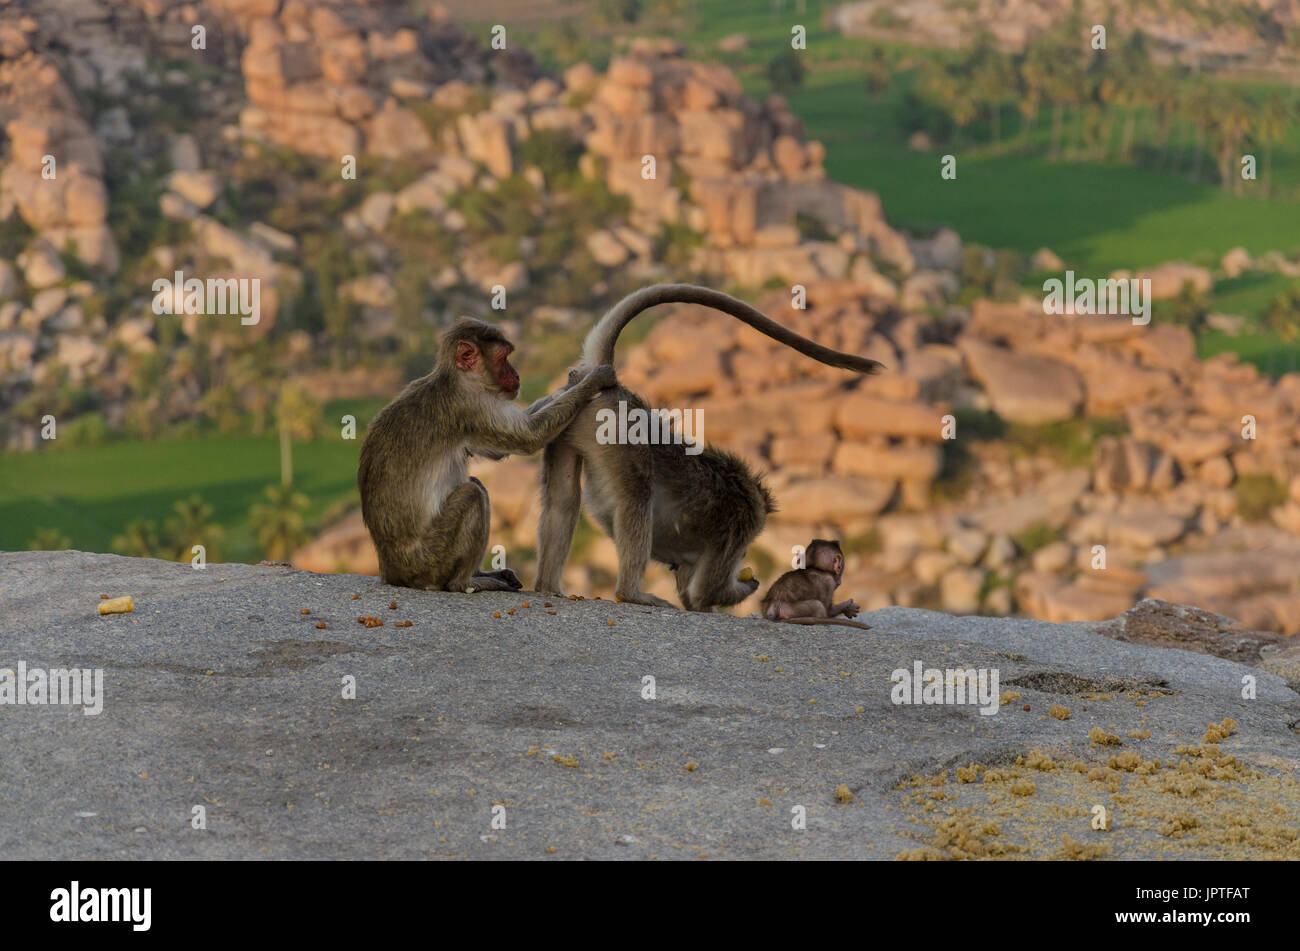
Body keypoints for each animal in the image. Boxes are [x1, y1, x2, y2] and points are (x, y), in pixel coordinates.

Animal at [358, 315, 616, 589]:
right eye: (503, 358)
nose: (516, 375)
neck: (458, 379)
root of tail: (392, 572)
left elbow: (499, 449)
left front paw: (570, 383)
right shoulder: (473, 406)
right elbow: (529, 436)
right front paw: (593, 381)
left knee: (475, 484)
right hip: (430, 561)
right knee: (472, 494)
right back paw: (465, 584)